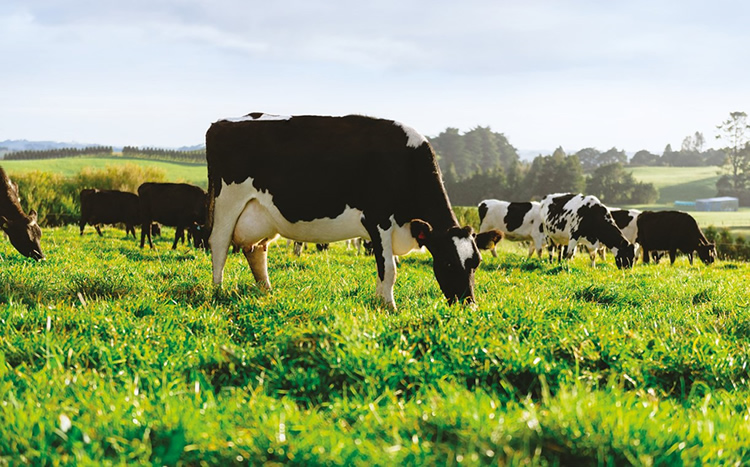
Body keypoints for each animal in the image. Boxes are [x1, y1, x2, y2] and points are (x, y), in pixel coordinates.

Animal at [206, 113, 502, 308]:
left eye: (476, 263)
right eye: (448, 263)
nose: (469, 305)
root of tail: (221, 123)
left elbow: (386, 267)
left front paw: (380, 301)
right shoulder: (378, 218)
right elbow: (389, 269)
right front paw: (389, 307)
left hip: (262, 213)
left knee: (256, 250)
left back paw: (267, 291)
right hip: (227, 201)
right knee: (219, 244)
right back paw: (218, 291)